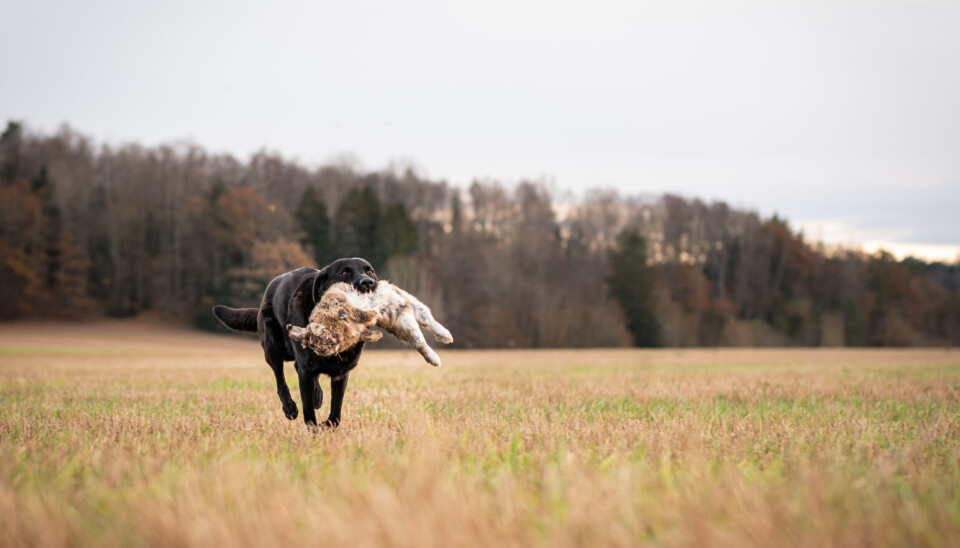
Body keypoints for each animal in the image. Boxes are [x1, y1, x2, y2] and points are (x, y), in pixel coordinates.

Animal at [214, 256, 378, 428]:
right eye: (344, 273)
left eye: (370, 272)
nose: (368, 283)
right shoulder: (306, 371)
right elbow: (309, 413)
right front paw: (315, 429)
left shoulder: (340, 373)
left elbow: (335, 416)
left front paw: (325, 425)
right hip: (272, 347)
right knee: (280, 378)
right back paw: (289, 407)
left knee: (298, 368)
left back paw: (317, 395)